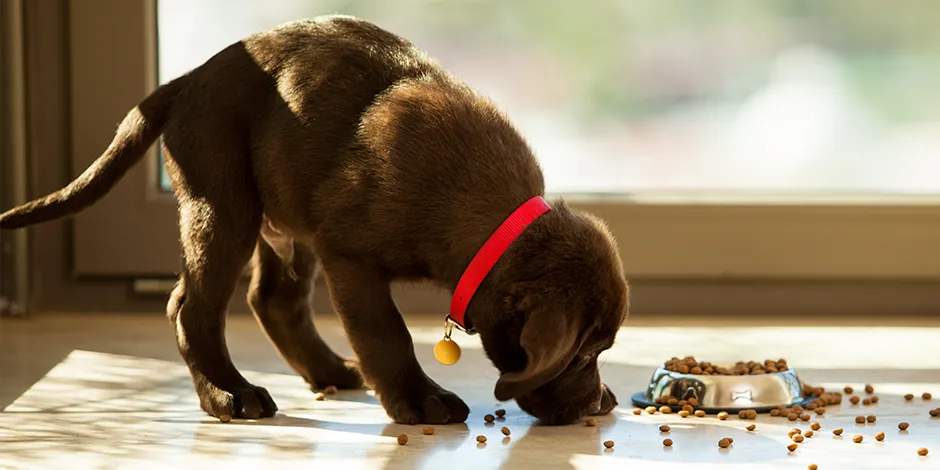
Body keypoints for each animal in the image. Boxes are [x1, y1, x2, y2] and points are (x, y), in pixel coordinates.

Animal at [3, 15, 632, 426]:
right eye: (580, 355)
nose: (601, 405)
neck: (488, 219)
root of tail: (187, 80)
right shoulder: (350, 256)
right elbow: (387, 333)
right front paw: (419, 399)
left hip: (285, 218)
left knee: (272, 299)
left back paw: (327, 370)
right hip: (223, 203)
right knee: (191, 307)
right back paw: (228, 396)